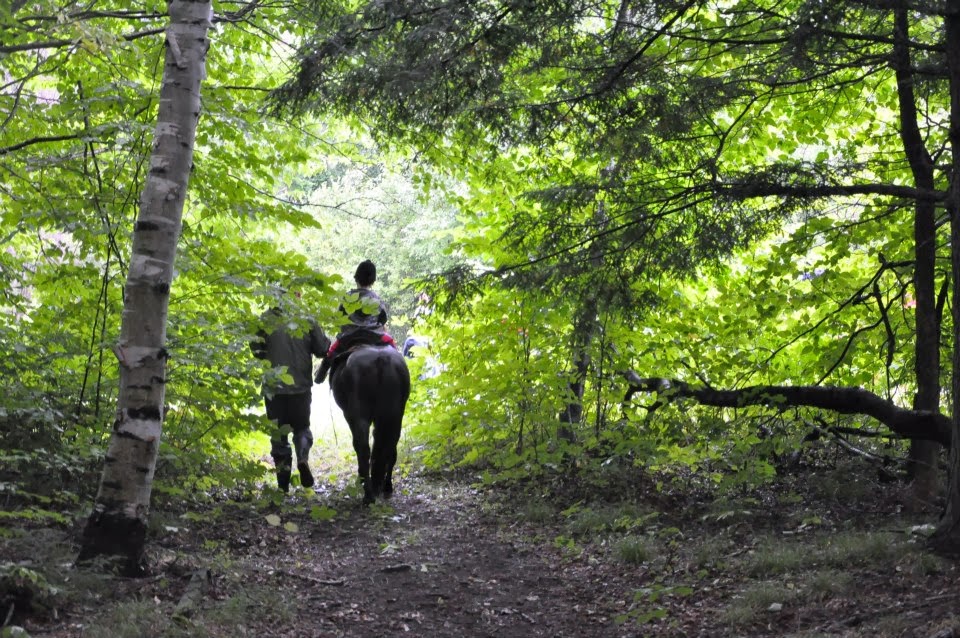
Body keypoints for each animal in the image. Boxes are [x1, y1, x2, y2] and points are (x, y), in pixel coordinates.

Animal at [330, 344, 408, 504]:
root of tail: (381, 359)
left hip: (358, 417)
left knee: (363, 449)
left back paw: (368, 493)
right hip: (394, 417)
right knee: (390, 448)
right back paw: (385, 487)